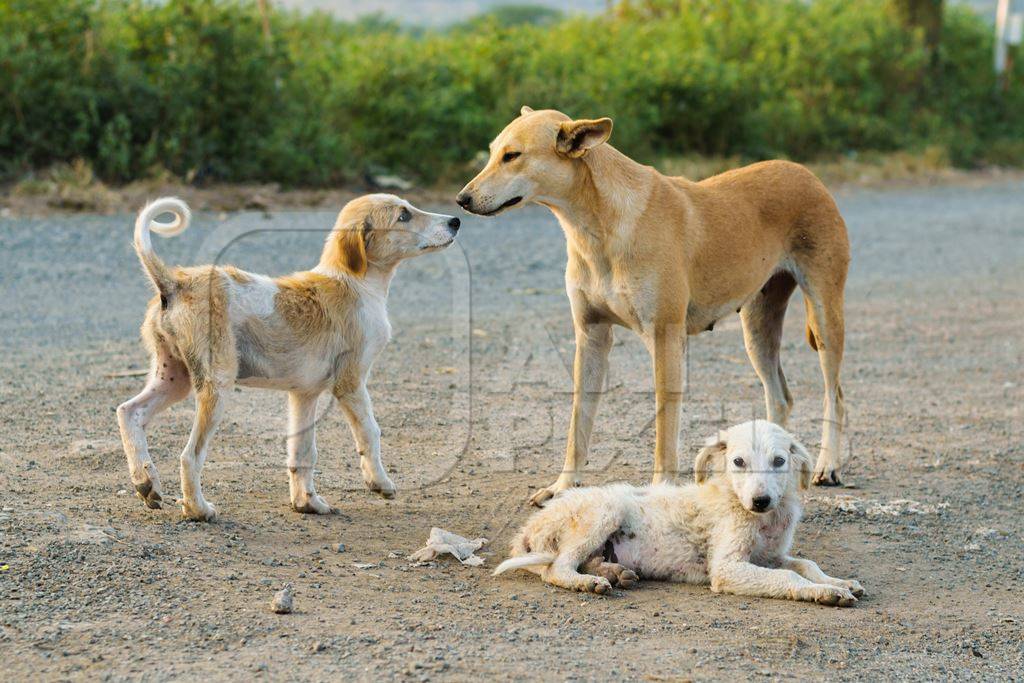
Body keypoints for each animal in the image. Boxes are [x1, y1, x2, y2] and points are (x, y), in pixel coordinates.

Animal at [116, 194, 460, 520]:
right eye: (404, 215)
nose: (455, 221)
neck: (354, 281)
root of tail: (175, 282)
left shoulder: (304, 396)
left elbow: (303, 453)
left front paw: (307, 503)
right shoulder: (350, 384)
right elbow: (370, 432)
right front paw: (380, 482)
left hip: (175, 380)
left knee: (128, 412)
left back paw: (145, 481)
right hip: (216, 385)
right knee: (190, 455)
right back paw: (197, 509)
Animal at [460, 105, 851, 501]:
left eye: (512, 156)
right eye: (492, 152)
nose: (462, 200)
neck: (599, 225)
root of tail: (806, 173)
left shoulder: (665, 338)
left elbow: (664, 430)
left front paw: (660, 488)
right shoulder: (591, 337)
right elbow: (578, 424)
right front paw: (563, 486)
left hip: (825, 317)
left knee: (833, 395)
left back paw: (828, 465)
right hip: (758, 329)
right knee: (780, 397)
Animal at [495, 421, 864, 610]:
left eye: (779, 461)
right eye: (738, 461)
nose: (760, 500)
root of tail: (528, 529)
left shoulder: (770, 555)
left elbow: (805, 564)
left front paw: (837, 582)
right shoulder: (727, 568)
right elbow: (788, 576)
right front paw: (823, 592)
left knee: (580, 561)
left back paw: (615, 572)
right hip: (605, 510)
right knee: (556, 569)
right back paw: (590, 583)